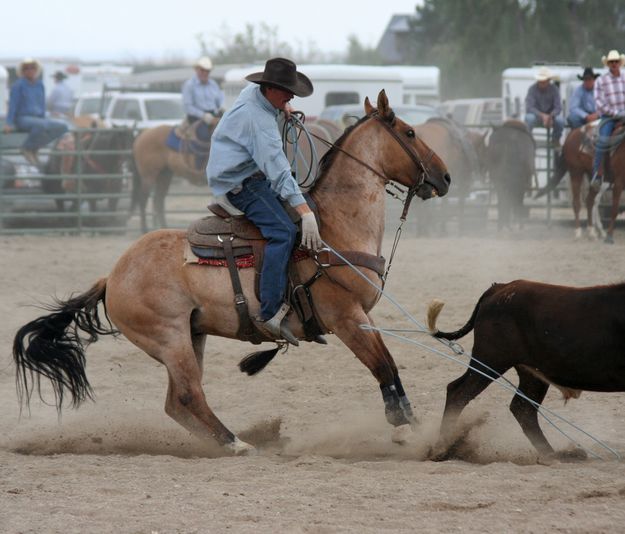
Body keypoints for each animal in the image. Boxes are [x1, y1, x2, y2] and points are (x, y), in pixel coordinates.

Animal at [13, 91, 448, 456]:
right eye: (410, 131)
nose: (444, 177)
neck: (335, 227)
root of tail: (112, 276)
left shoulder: (362, 317)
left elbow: (390, 366)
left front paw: (411, 424)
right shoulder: (346, 318)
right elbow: (384, 366)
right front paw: (405, 429)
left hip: (193, 336)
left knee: (176, 403)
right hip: (170, 338)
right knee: (188, 396)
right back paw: (236, 444)